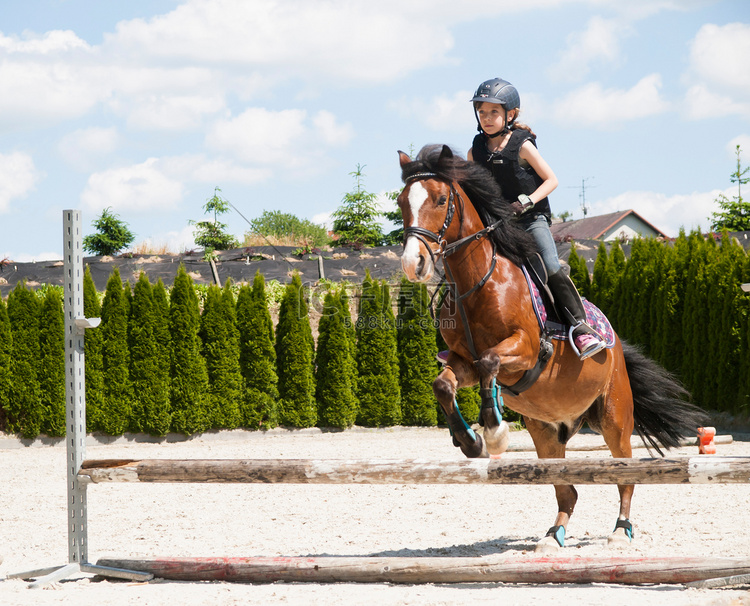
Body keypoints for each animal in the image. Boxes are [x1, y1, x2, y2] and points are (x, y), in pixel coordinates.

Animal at [396, 145, 708, 552]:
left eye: (441, 199)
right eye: (402, 201)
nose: (412, 263)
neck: (475, 283)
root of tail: (616, 346)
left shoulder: (526, 350)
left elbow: (490, 361)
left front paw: (493, 429)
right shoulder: (462, 362)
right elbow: (444, 384)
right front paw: (470, 441)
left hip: (614, 417)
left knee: (625, 475)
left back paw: (620, 531)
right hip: (546, 431)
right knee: (567, 490)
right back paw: (553, 535)